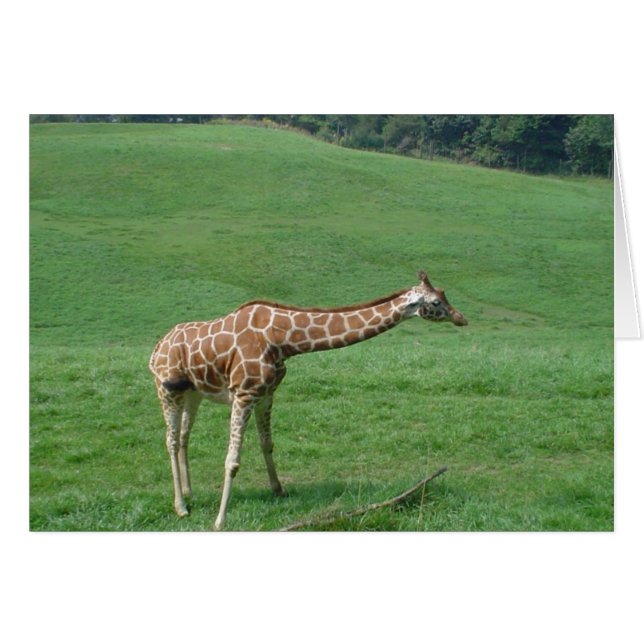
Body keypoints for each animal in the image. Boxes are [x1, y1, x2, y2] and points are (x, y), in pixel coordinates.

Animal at [149, 270, 467, 530]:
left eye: (444, 294)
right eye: (435, 302)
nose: (461, 318)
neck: (282, 340)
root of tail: (157, 347)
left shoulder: (266, 394)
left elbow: (267, 444)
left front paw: (279, 490)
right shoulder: (244, 394)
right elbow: (233, 460)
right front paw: (220, 520)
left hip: (194, 392)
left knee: (185, 436)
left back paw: (189, 492)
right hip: (167, 390)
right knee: (171, 440)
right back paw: (181, 507)